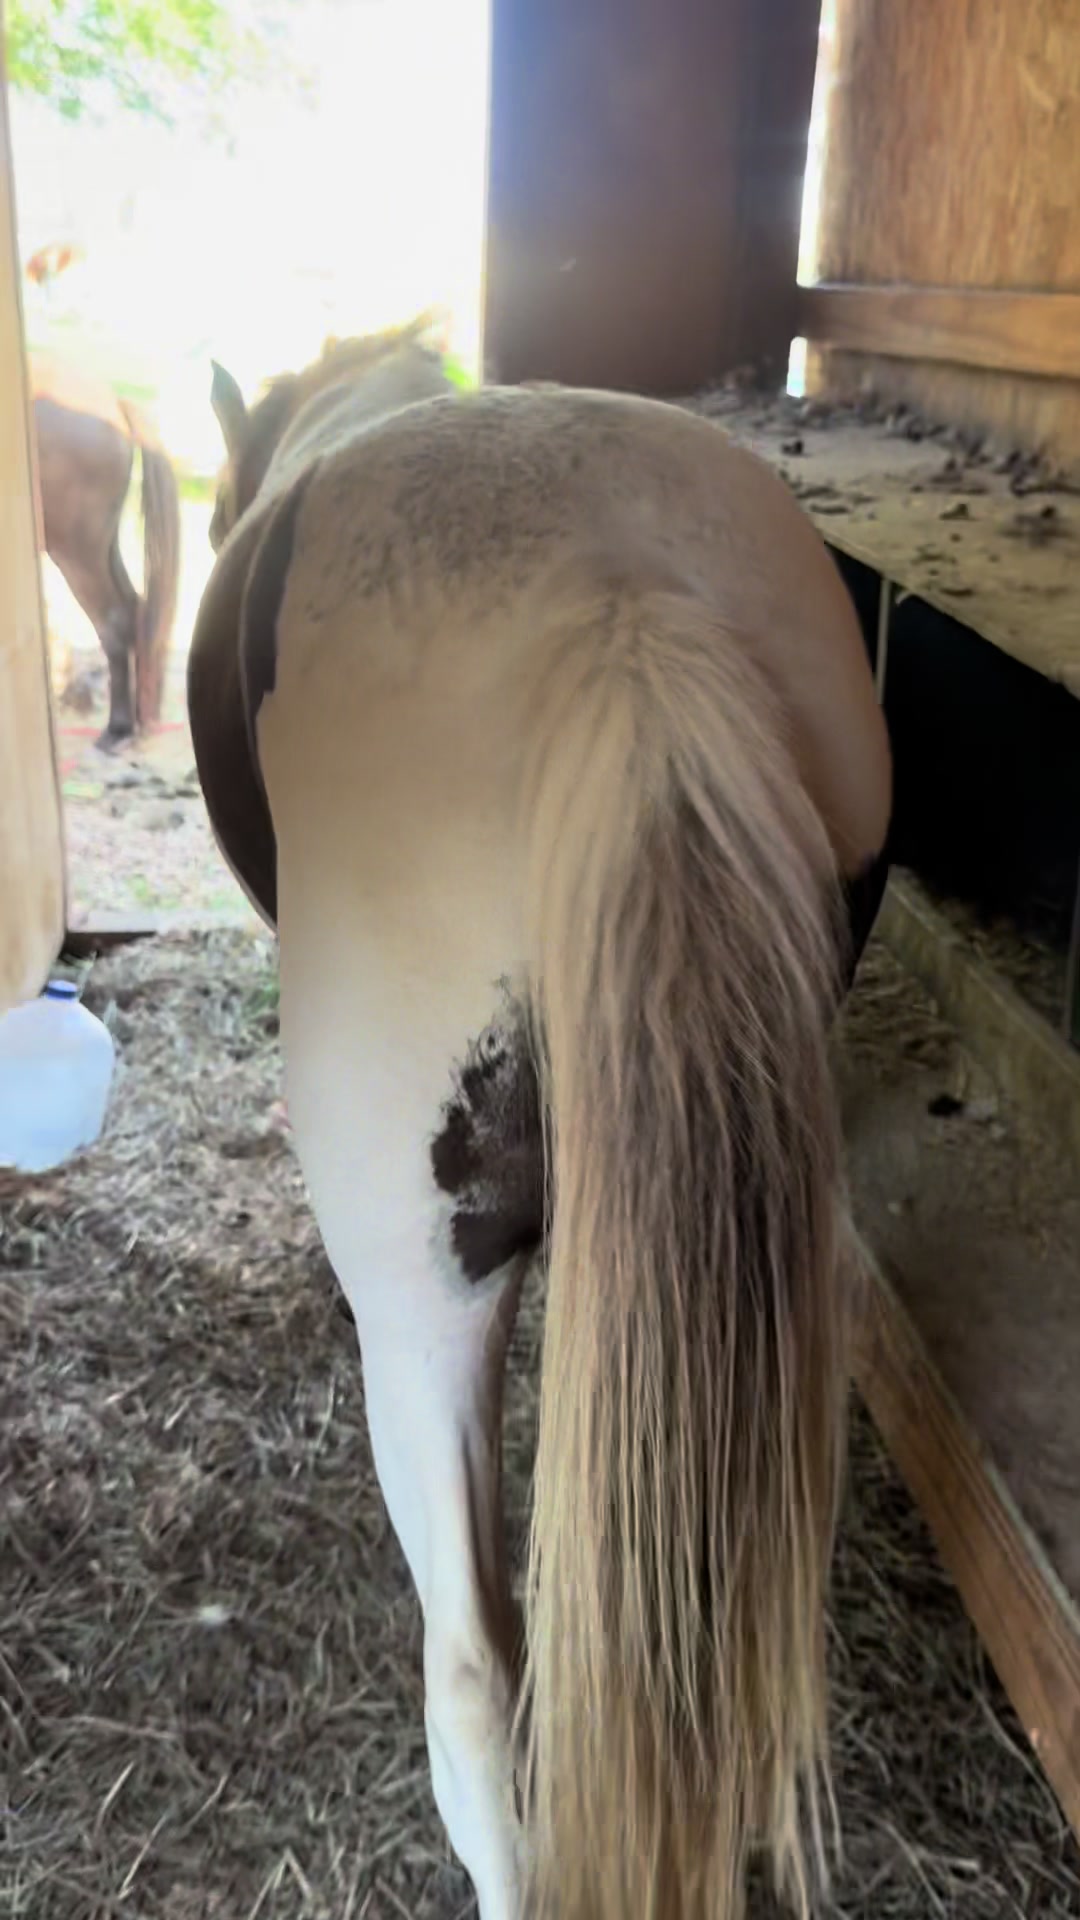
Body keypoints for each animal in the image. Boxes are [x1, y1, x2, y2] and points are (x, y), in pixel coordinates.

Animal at [29, 351, 181, 747]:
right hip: (101, 548)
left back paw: (118, 726)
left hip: (77, 553)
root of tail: (114, 403)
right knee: (133, 608)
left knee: (112, 620)